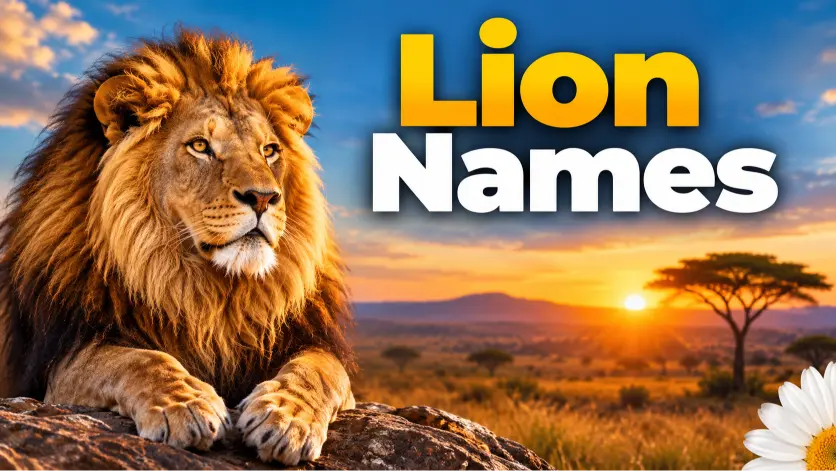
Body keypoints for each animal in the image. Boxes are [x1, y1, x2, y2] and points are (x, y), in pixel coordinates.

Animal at [0, 29, 356, 465]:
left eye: (269, 150)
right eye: (200, 146)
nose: (263, 197)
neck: (208, 292)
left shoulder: (309, 343)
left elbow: (319, 371)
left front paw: (286, 418)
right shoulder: (60, 359)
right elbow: (138, 359)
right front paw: (186, 406)